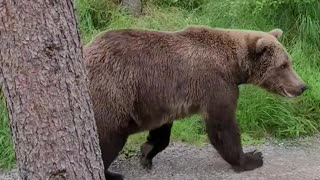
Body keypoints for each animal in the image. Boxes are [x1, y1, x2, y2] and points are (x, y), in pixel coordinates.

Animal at [83, 25, 308, 180]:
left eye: (289, 62)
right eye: (283, 65)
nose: (302, 86)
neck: (233, 66)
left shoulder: (163, 97)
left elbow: (162, 130)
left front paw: (147, 152)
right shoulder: (216, 85)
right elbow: (222, 126)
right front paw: (251, 158)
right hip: (112, 95)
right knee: (107, 139)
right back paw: (112, 174)